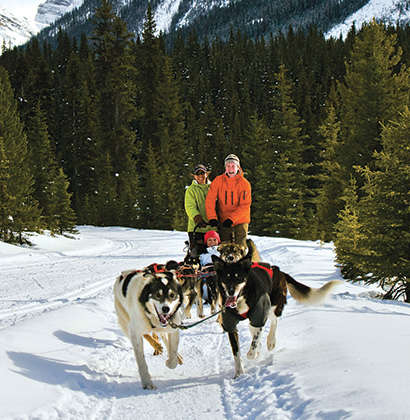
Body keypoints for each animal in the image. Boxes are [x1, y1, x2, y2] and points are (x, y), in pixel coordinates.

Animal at [211, 254, 342, 378]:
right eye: (226, 278)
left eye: (238, 277)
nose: (231, 292)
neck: (242, 299)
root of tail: (279, 271)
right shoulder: (231, 326)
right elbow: (237, 353)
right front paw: (239, 373)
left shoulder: (260, 317)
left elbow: (252, 351)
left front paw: (255, 353)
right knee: (255, 330)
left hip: (273, 307)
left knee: (274, 322)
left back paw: (271, 341)